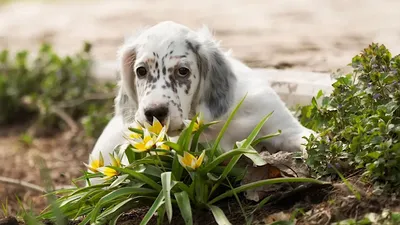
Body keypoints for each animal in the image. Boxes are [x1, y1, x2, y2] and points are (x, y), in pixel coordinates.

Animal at [89, 21, 314, 168]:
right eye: (141, 71)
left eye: (183, 71)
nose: (154, 113)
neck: (217, 121)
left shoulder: (284, 126)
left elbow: (311, 139)